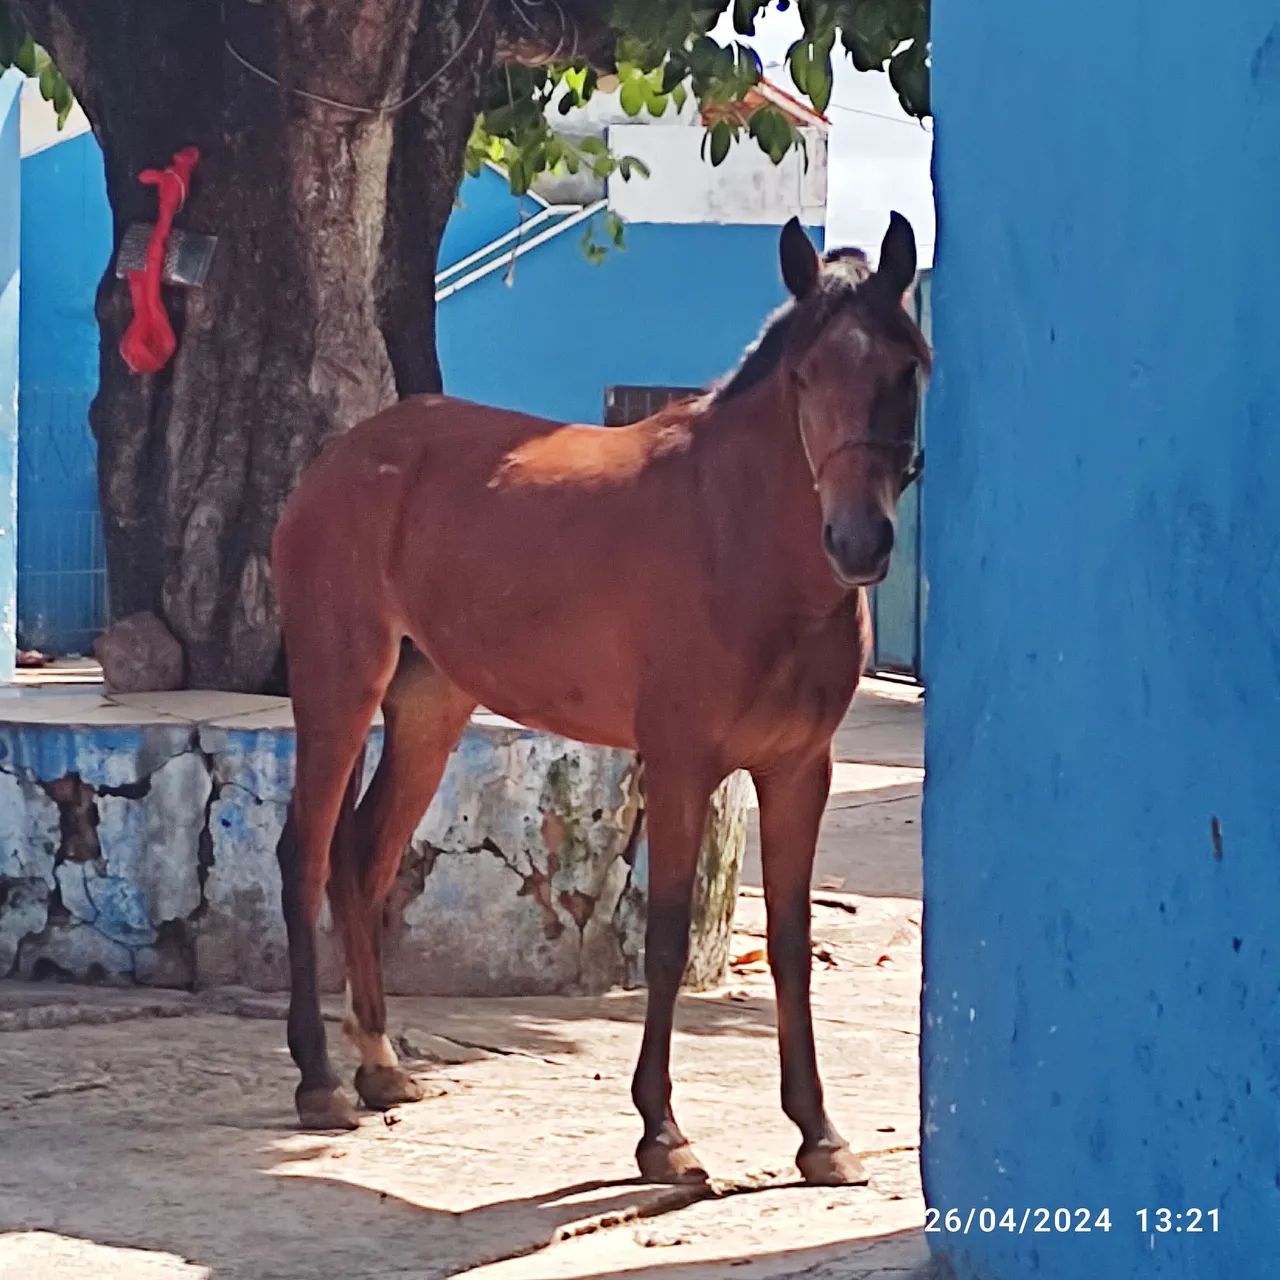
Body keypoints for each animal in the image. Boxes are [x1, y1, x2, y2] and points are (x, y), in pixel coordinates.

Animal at [272, 215, 931, 1182]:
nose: (858, 541)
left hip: (430, 709)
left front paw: (820, 1134)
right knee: (306, 855)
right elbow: (664, 940)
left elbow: (789, 944)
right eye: (806, 375)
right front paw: (663, 1133)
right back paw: (319, 1081)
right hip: (338, 686)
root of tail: (343, 460)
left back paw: (382, 1063)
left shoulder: (799, 770)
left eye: (906, 368)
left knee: (364, 856)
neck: (737, 541)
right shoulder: (682, 763)